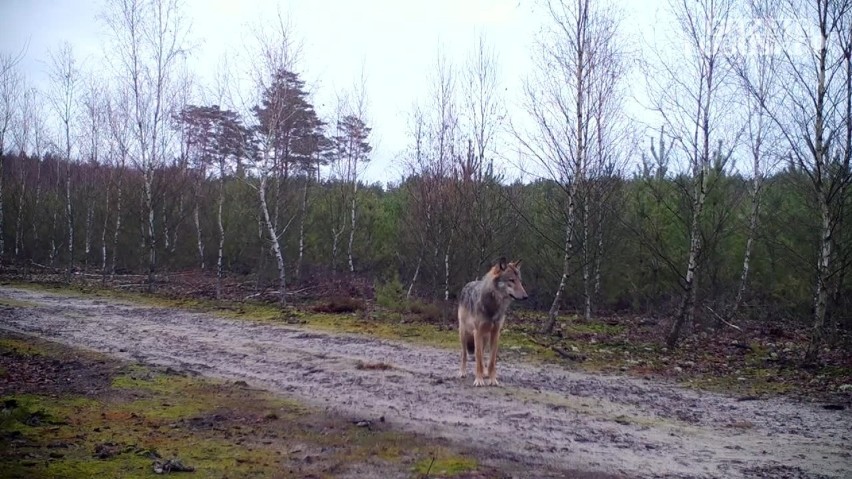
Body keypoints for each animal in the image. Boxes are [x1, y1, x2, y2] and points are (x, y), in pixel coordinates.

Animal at [460, 258, 524, 386]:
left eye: (520, 281)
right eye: (511, 280)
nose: (526, 296)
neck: (493, 305)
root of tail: (468, 284)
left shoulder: (496, 333)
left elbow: (491, 361)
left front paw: (492, 379)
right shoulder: (477, 332)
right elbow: (478, 359)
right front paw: (479, 380)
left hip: (485, 338)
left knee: (482, 355)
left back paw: (485, 373)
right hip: (465, 335)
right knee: (465, 355)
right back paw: (462, 372)